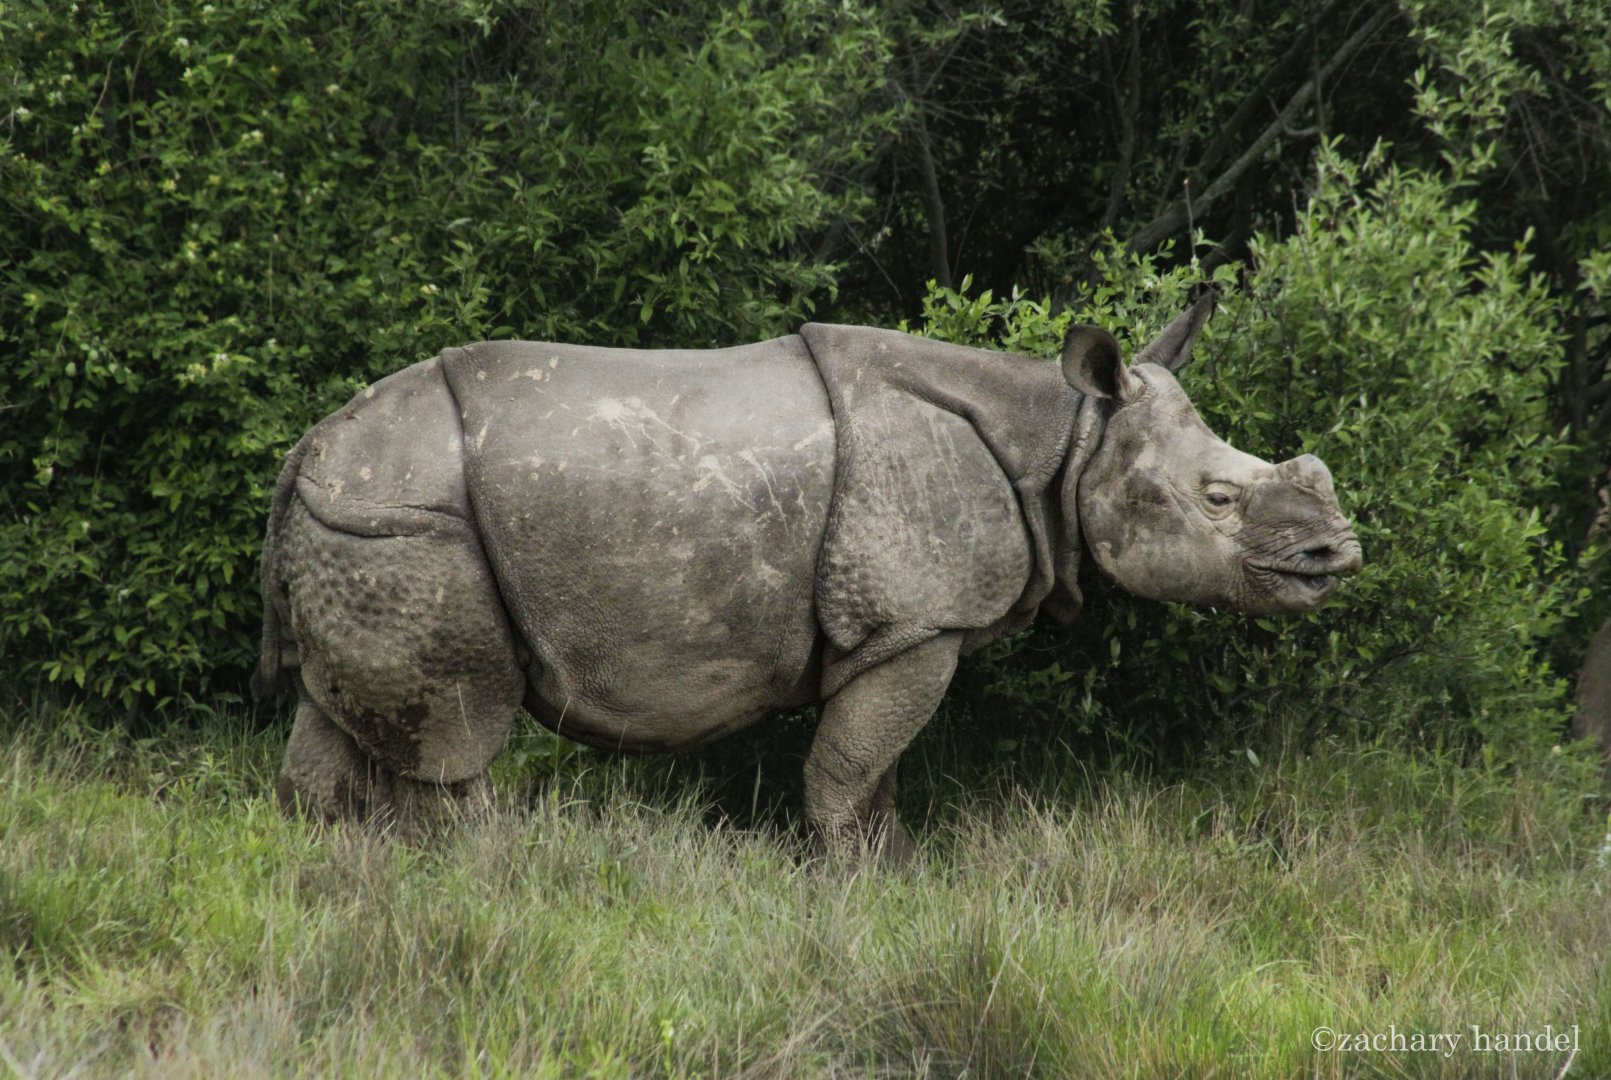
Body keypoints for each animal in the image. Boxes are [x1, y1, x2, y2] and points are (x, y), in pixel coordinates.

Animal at [254, 296, 1362, 857]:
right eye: (1217, 498)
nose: (1336, 554)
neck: (1065, 438)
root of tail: (304, 450)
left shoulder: (898, 631)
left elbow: (872, 769)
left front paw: (892, 869)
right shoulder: (914, 624)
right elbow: (846, 767)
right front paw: (863, 880)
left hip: (360, 530)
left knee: (339, 719)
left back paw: (333, 870)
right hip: (409, 524)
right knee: (457, 730)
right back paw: (489, 872)